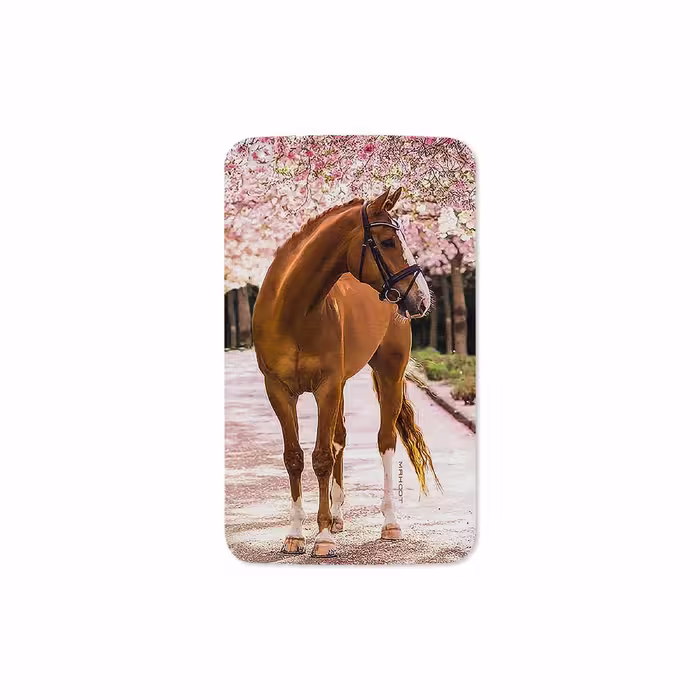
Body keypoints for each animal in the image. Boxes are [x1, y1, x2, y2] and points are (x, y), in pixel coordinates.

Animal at [252, 187, 440, 558]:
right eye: (387, 241)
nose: (422, 299)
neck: (293, 311)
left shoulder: (326, 386)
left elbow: (322, 457)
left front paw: (322, 538)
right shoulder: (278, 390)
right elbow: (294, 457)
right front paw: (295, 534)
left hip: (389, 374)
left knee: (385, 441)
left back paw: (389, 523)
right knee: (339, 437)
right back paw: (338, 516)